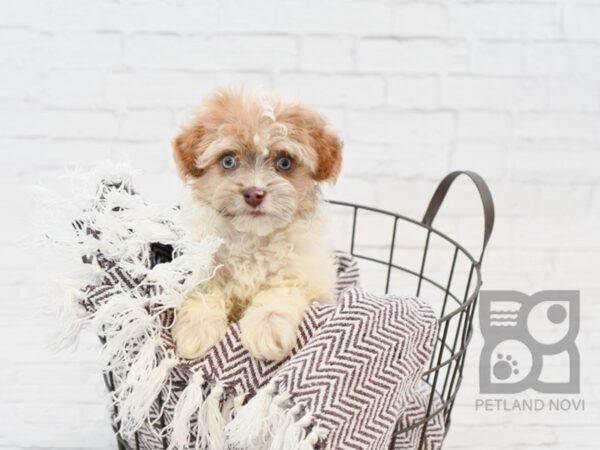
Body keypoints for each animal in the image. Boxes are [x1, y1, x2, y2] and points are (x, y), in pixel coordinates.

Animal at [171, 88, 344, 362]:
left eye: (284, 162)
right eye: (228, 161)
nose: (254, 194)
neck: (252, 239)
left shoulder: (307, 276)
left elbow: (280, 290)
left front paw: (267, 327)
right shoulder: (202, 261)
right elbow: (205, 287)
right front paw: (195, 331)